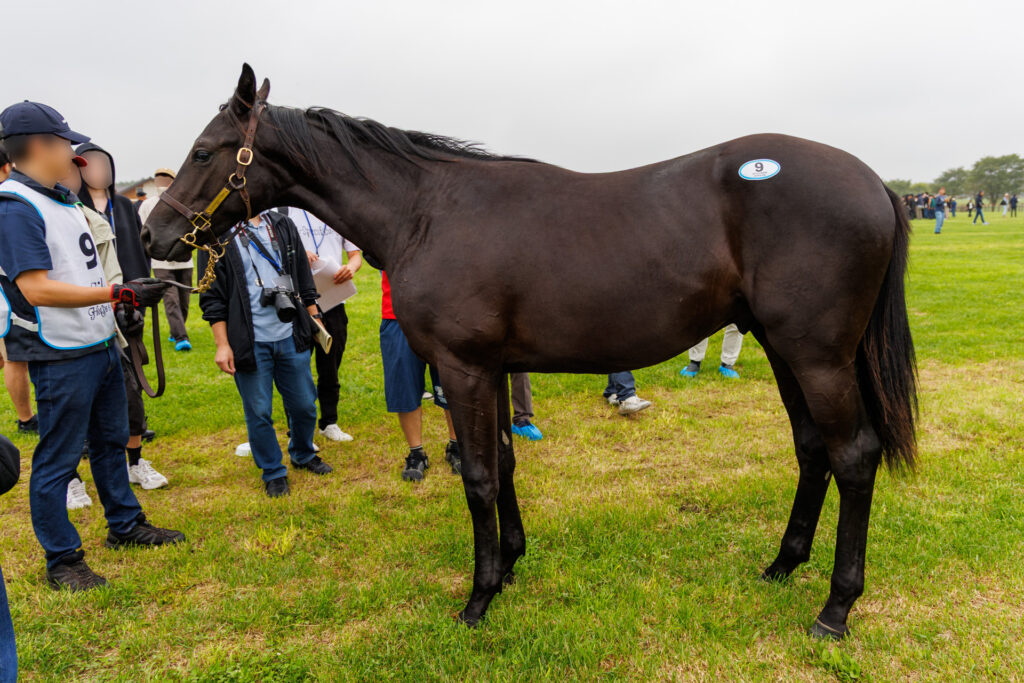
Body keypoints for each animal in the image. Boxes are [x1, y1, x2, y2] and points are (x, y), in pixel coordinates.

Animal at [142, 64, 917, 640]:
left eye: (205, 151)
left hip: (817, 357)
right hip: (787, 351)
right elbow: (505, 463)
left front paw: (479, 596)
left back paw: (835, 607)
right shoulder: (488, 369)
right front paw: (511, 565)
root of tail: (875, 183)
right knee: (813, 451)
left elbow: (480, 475)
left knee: (854, 456)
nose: (154, 235)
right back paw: (783, 565)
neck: (428, 211)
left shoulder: (462, 368)